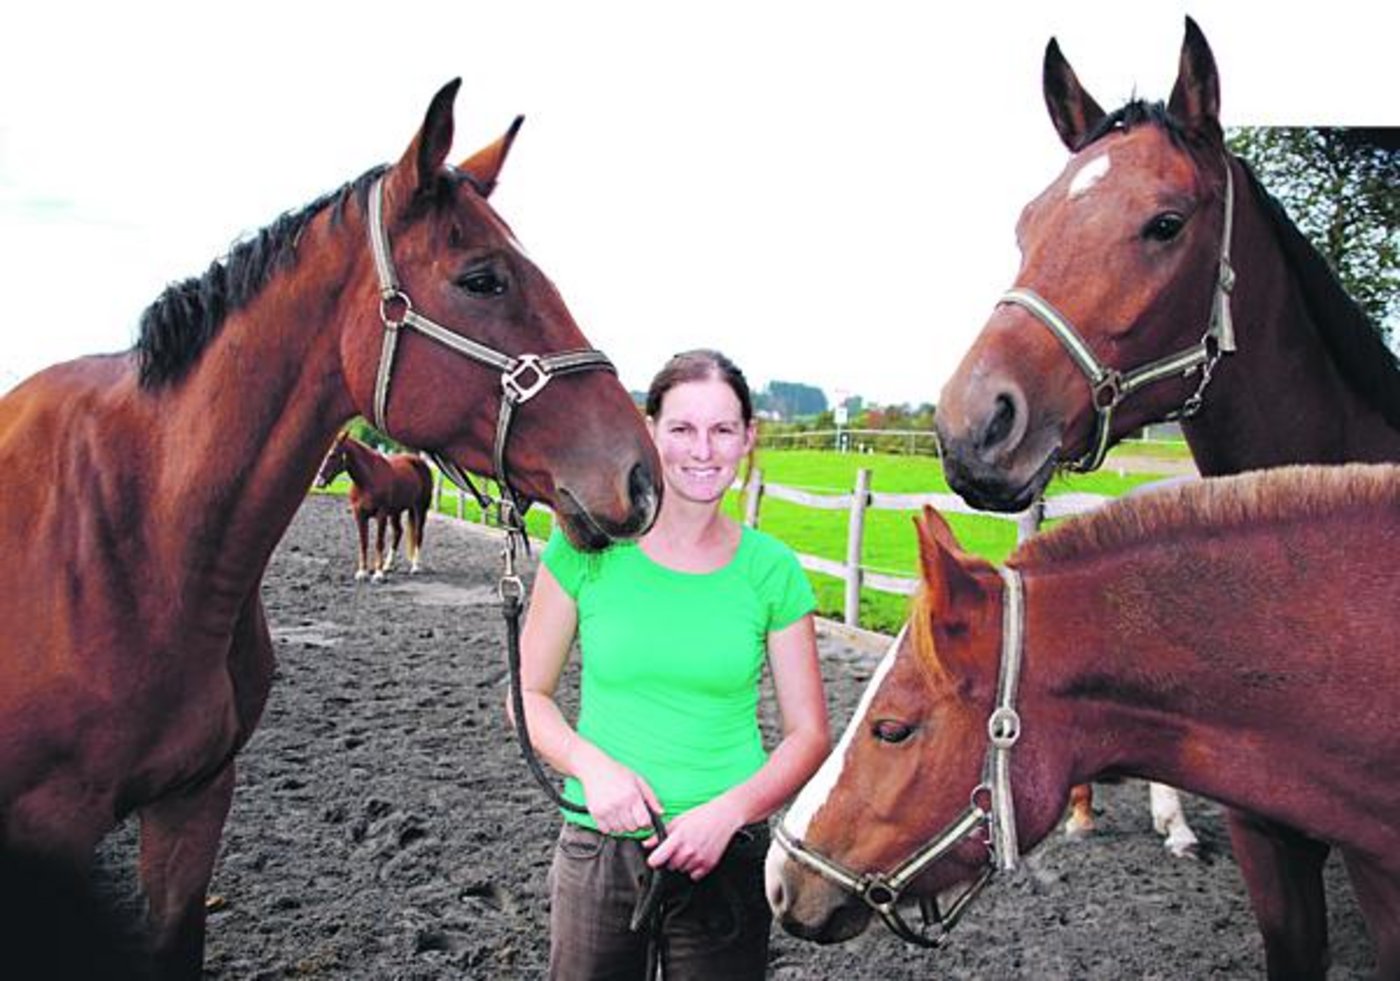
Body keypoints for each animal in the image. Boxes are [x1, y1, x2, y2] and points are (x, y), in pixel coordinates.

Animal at [316, 432, 434, 581]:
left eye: (333, 455)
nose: (318, 482)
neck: (368, 480)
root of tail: (419, 461)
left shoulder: (381, 515)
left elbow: (379, 542)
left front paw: (378, 574)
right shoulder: (359, 515)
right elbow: (363, 542)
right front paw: (362, 572)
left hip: (420, 508)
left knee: (418, 534)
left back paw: (415, 567)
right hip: (396, 512)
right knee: (398, 532)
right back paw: (388, 566)